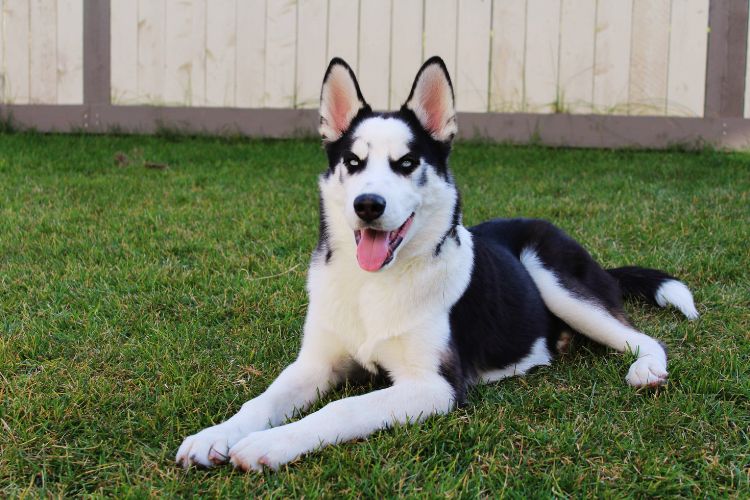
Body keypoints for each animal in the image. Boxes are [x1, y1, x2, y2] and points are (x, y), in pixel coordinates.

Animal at [175, 56, 700, 470]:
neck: (373, 285)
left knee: (644, 339)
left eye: (407, 163)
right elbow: (260, 399)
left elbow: (340, 410)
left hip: (554, 277)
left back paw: (646, 369)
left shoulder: (434, 386)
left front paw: (270, 444)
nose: (368, 205)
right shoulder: (314, 364)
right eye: (353, 162)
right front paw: (216, 434)